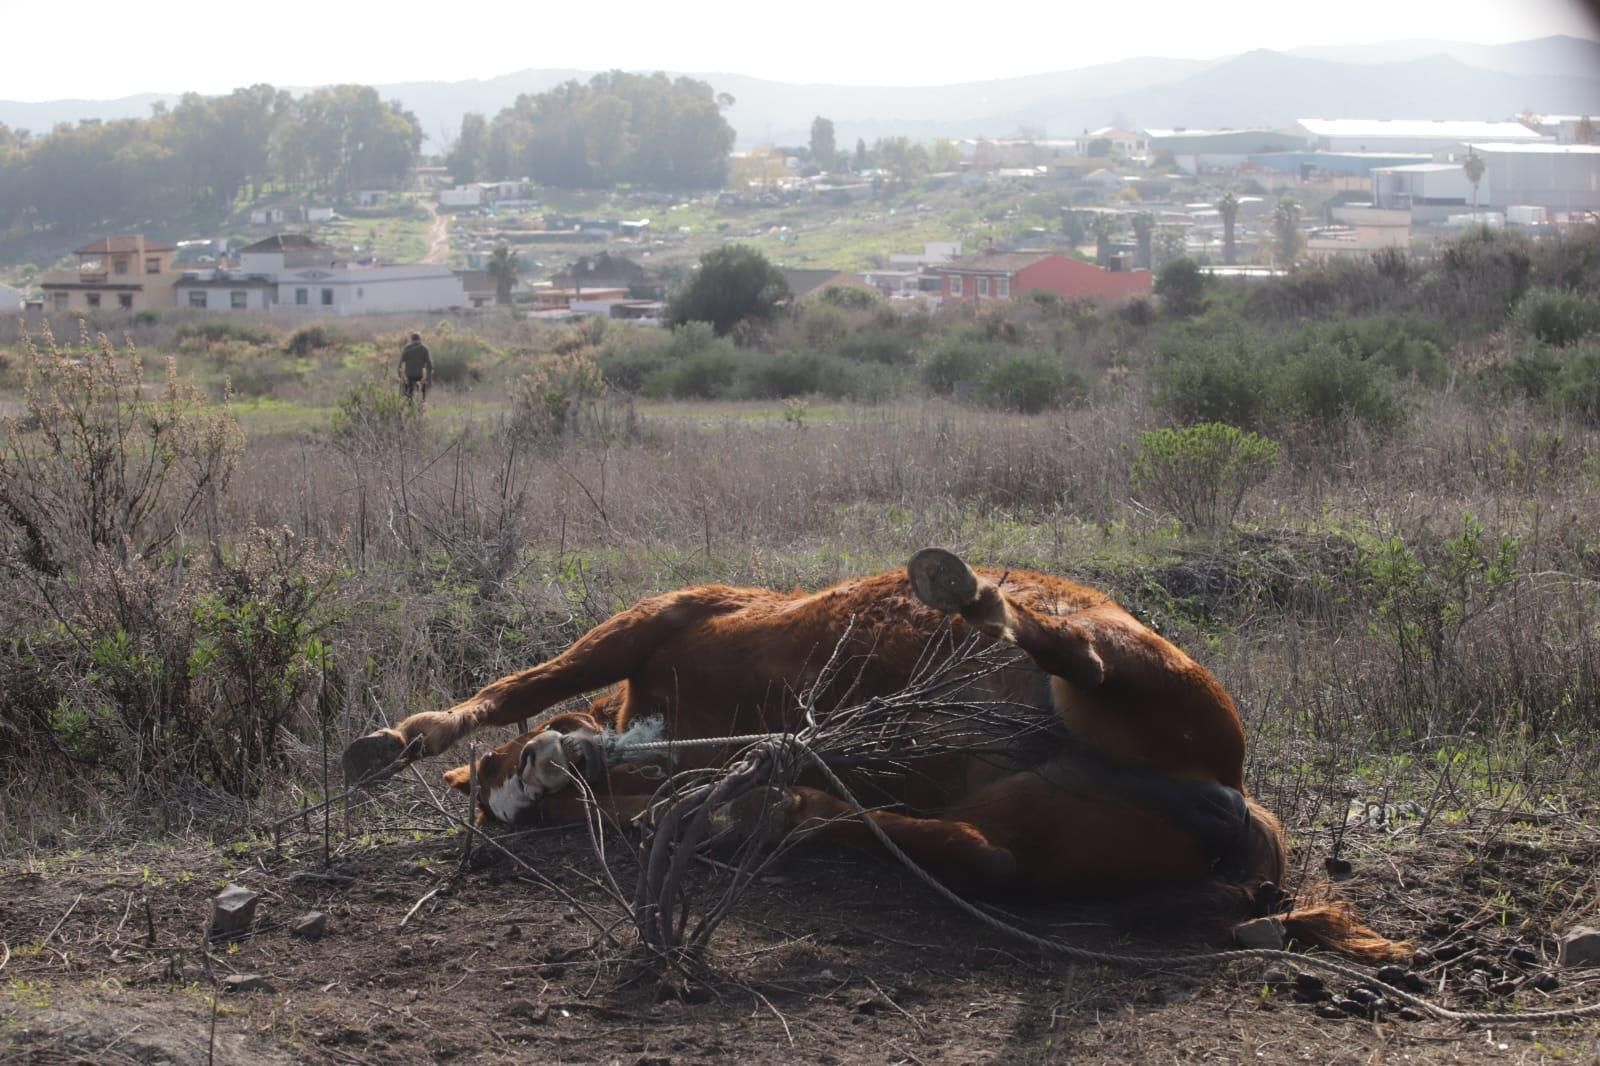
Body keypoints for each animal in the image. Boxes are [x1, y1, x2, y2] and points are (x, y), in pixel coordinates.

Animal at [342, 548, 1406, 960]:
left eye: (505, 779)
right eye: (547, 814)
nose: (536, 778)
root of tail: (1227, 796)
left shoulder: (657, 619)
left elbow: (527, 682)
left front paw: (398, 740)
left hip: (1149, 677)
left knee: (1081, 655)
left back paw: (967, 592)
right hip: (1033, 833)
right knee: (973, 852)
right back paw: (785, 810)